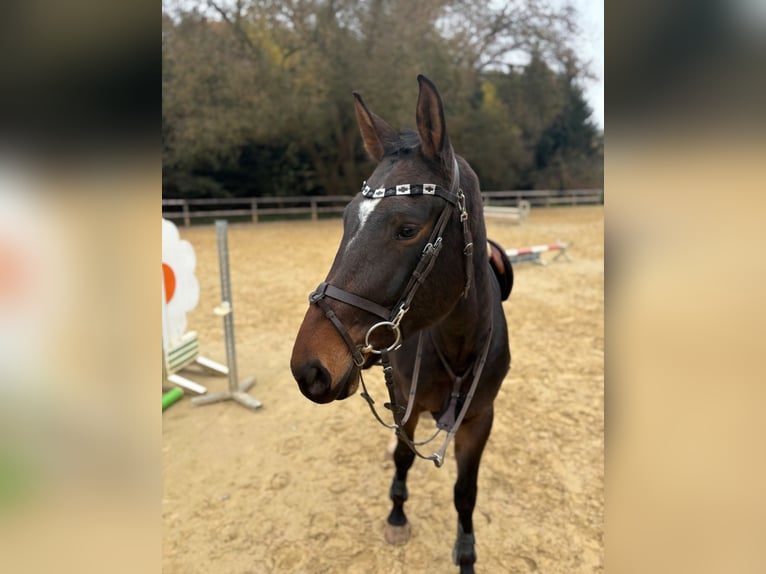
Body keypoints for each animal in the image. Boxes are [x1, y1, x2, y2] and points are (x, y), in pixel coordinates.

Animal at [292, 75, 512, 574]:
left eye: (407, 229)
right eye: (346, 220)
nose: (309, 368)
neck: (457, 345)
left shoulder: (480, 418)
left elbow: (465, 492)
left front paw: (466, 553)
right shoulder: (405, 406)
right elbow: (401, 457)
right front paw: (396, 515)